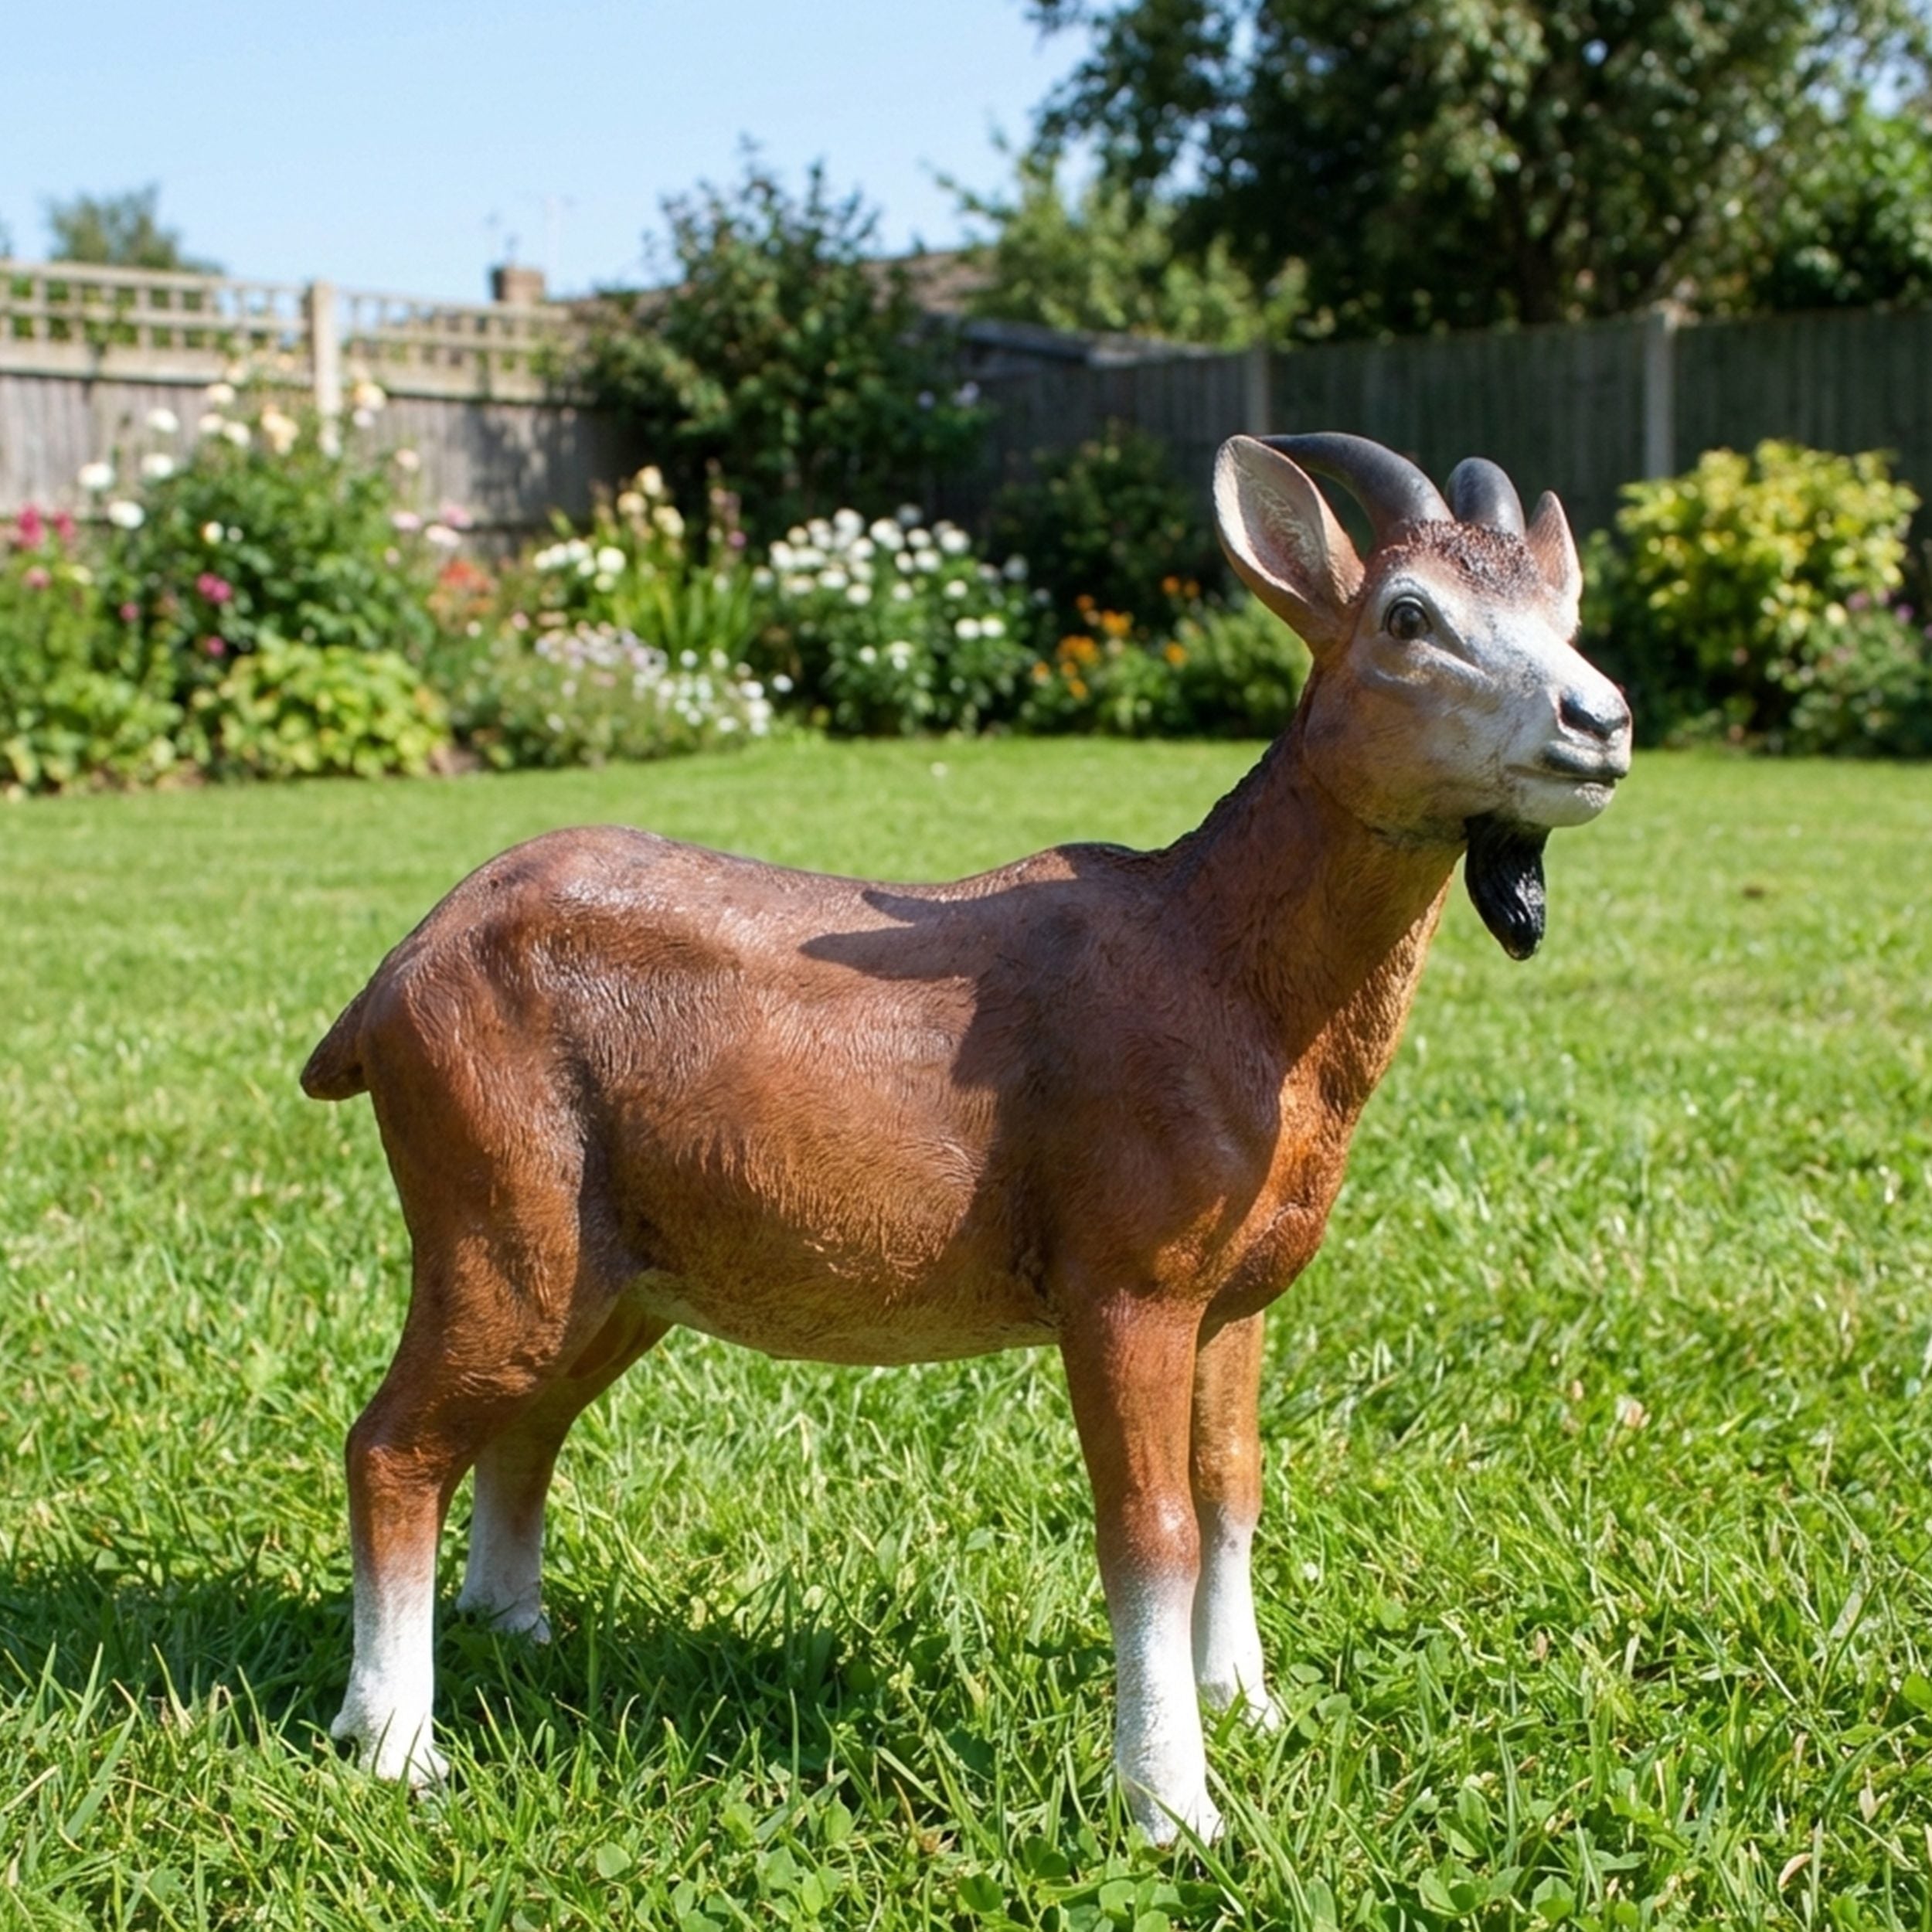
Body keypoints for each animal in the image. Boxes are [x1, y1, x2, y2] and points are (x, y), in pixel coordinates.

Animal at [302, 433, 1631, 1842]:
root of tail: (395, 980)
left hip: (613, 1277)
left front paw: (1248, 1707)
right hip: (495, 1221)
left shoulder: (1232, 1305)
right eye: (1407, 618)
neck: (1215, 963)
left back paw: (518, 1633)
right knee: (393, 1445)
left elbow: (1232, 1488)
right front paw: (1174, 1806)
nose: (1599, 722)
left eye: (1565, 607)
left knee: (523, 1428)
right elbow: (1150, 1530)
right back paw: (394, 1745)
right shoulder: (1123, 1292)